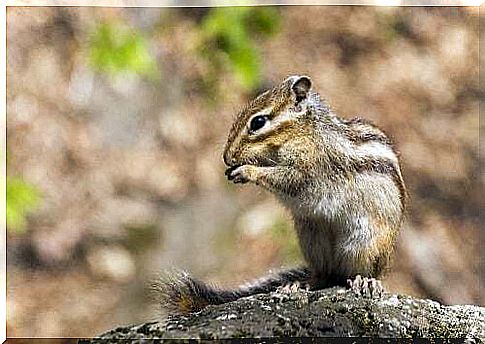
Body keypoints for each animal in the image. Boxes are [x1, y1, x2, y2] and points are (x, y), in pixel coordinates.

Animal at [154, 74, 404, 314]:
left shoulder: (309, 168)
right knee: (323, 275)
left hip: (364, 244)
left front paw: (247, 171)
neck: (303, 132)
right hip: (312, 239)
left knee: (358, 273)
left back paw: (366, 281)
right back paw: (299, 284)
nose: (227, 157)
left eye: (258, 122)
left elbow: (288, 180)